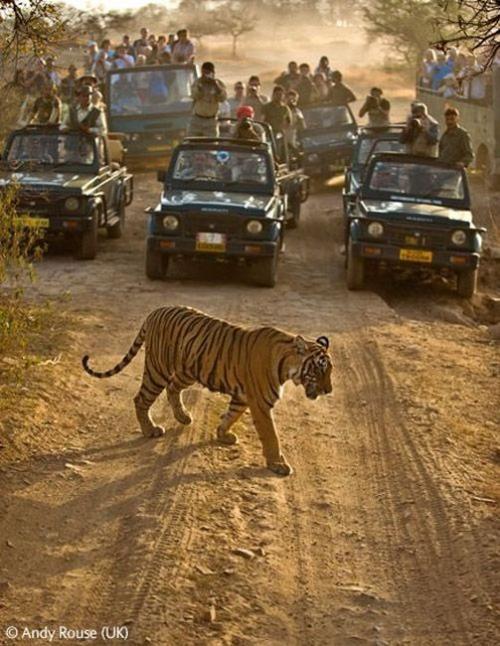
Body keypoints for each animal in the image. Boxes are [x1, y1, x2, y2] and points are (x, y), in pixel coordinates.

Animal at [81, 306, 332, 478]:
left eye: (330, 370)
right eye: (319, 370)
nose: (329, 390)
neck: (287, 364)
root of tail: (154, 311)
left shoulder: (242, 397)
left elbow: (231, 415)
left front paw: (222, 434)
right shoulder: (260, 403)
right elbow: (271, 436)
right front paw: (278, 464)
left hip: (187, 370)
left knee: (172, 388)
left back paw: (183, 417)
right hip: (157, 369)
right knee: (141, 398)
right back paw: (150, 429)